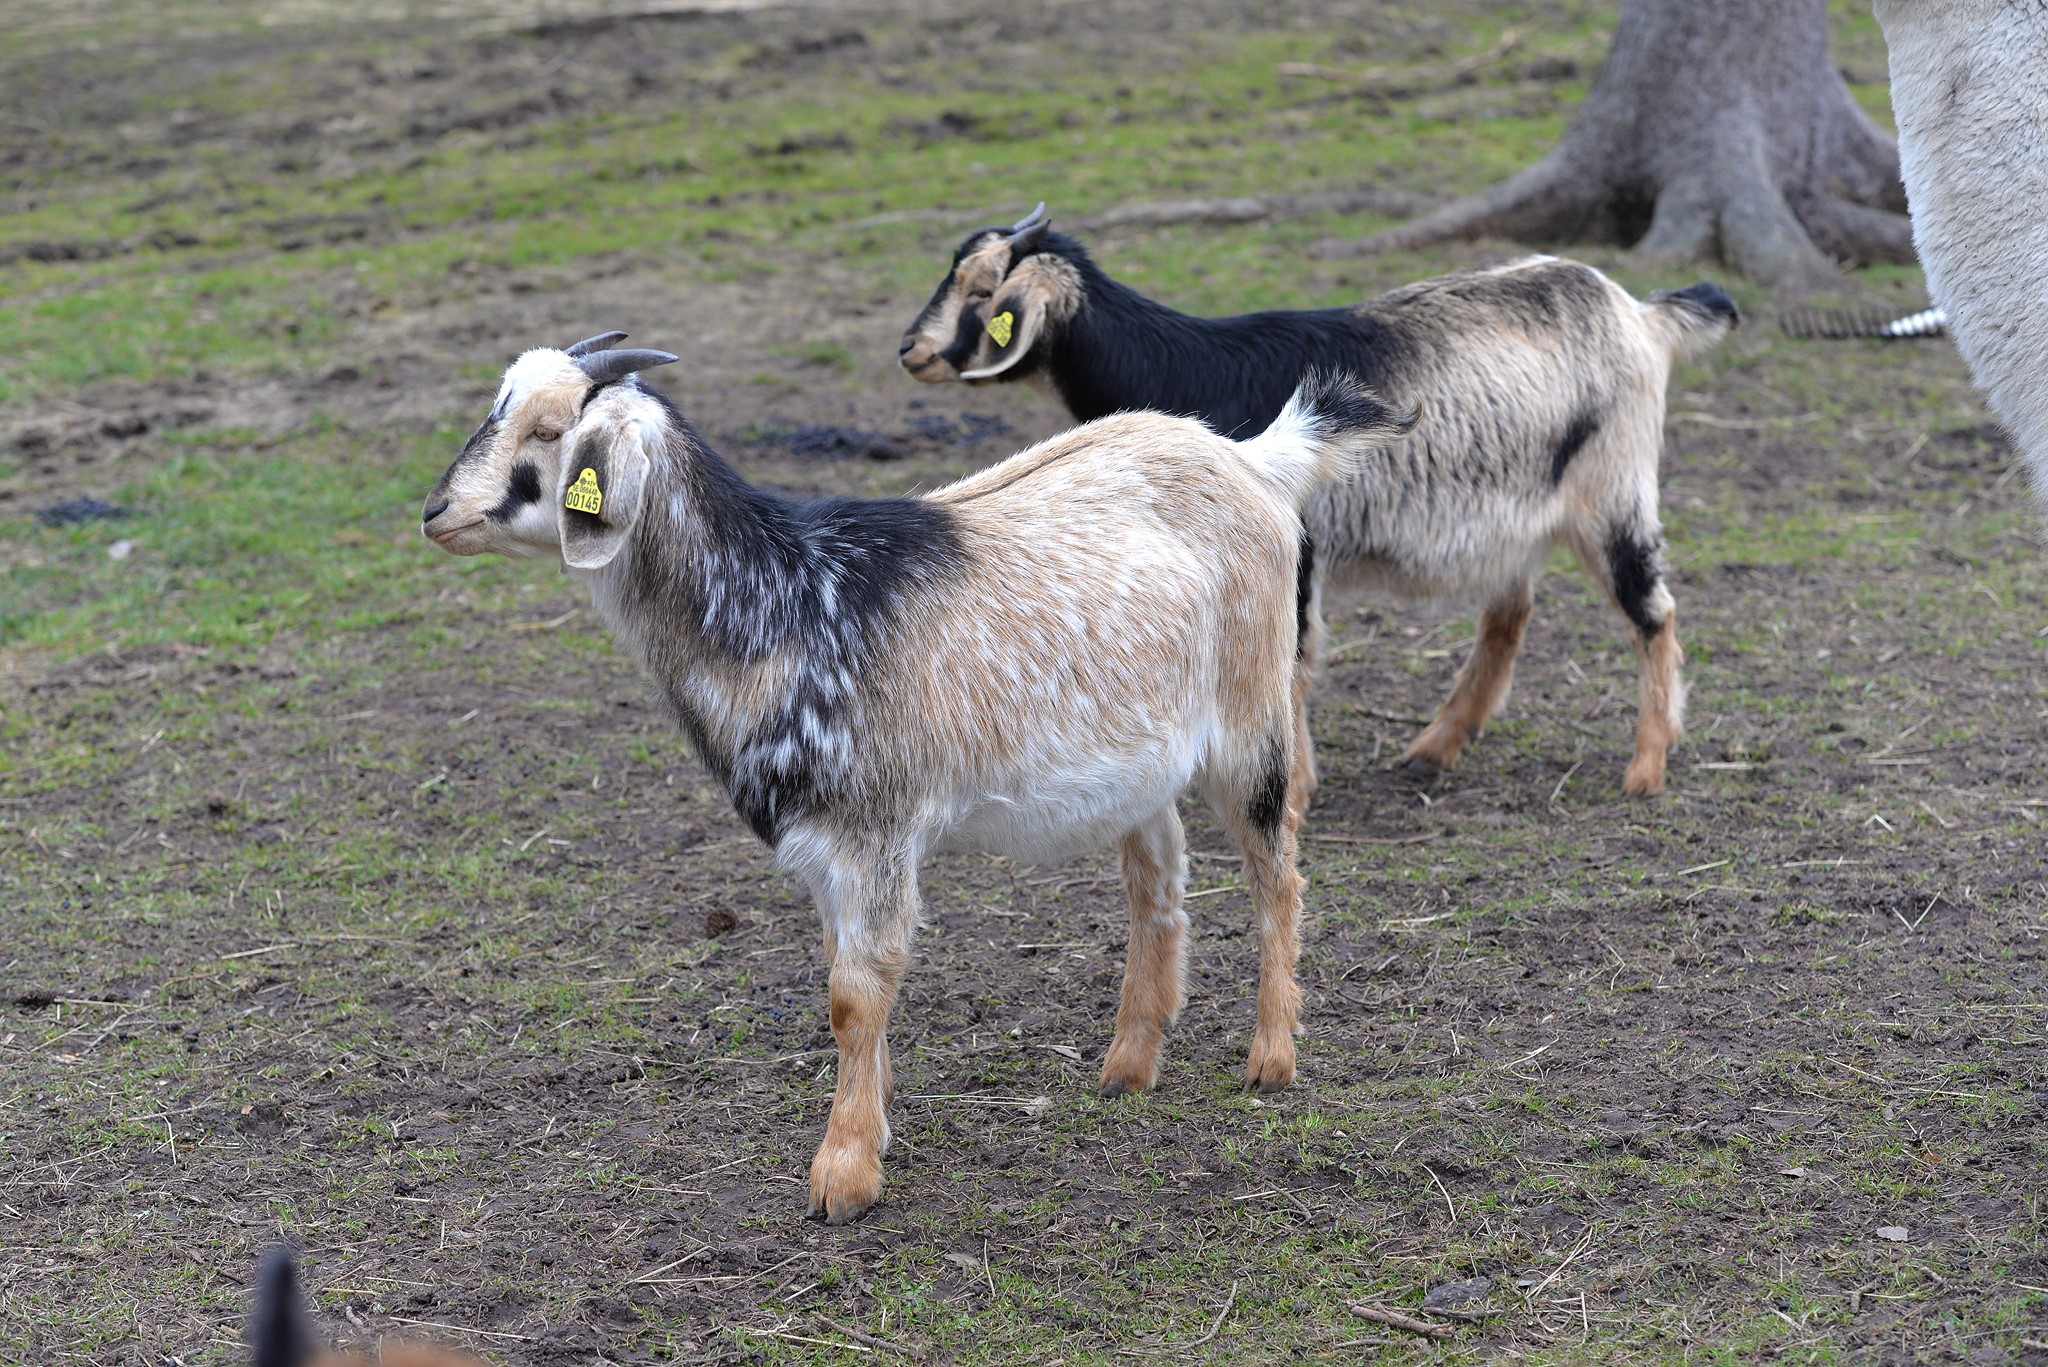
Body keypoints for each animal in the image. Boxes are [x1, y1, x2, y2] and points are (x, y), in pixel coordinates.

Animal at [421, 335, 1413, 1223]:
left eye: (549, 430)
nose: (435, 510)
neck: (784, 604)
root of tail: (1252, 458)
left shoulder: (873, 826)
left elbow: (855, 994)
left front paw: (845, 1172)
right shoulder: (822, 845)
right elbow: (848, 983)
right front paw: (878, 1118)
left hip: (1251, 713)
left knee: (1277, 870)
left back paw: (1272, 1055)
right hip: (1139, 754)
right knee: (1157, 880)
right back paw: (1130, 1060)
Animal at [900, 206, 1738, 803]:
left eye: (982, 291)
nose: (910, 350)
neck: (1187, 367)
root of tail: (1641, 313)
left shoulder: (1291, 536)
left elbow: (1292, 655)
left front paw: (1292, 785)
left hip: (1614, 487)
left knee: (1652, 611)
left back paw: (1647, 767)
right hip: (1519, 511)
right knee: (1510, 614)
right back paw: (1434, 748)